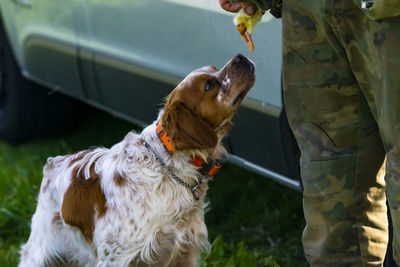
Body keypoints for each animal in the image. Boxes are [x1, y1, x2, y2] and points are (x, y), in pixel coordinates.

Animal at [19, 53, 253, 266]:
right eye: (209, 84)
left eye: (214, 68)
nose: (240, 57)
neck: (170, 168)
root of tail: (53, 163)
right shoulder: (116, 258)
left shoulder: (185, 251)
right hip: (39, 252)